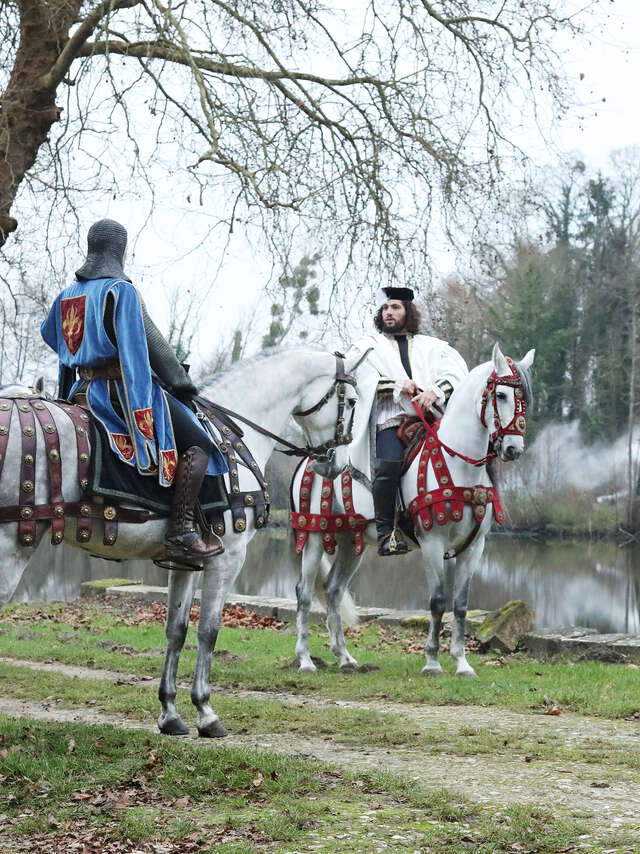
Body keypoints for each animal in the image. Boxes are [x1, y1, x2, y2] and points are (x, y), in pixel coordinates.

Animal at [0, 348, 360, 736]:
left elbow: (177, 630)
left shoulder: (186, 560)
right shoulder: (228, 557)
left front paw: (170, 713)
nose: (336, 466)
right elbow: (208, 631)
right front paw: (206, 712)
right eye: (354, 400)